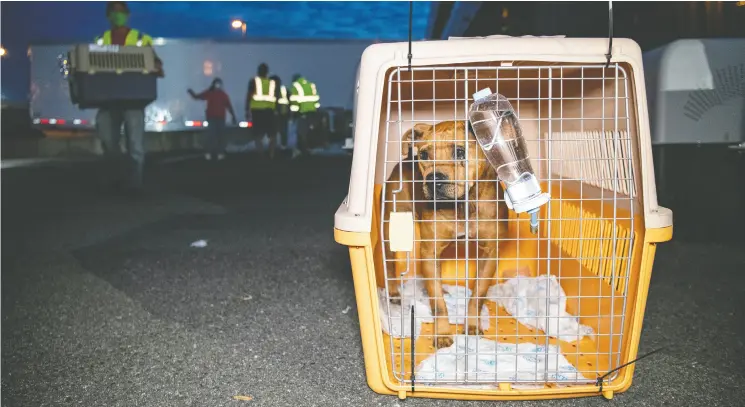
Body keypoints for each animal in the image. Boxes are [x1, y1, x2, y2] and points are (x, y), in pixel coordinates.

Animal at [384, 119, 512, 350]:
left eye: (460, 152)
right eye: (424, 155)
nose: (434, 179)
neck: (462, 205)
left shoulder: (489, 253)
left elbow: (478, 294)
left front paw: (472, 325)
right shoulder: (429, 252)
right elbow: (438, 305)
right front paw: (442, 333)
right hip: (393, 227)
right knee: (389, 263)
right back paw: (394, 292)